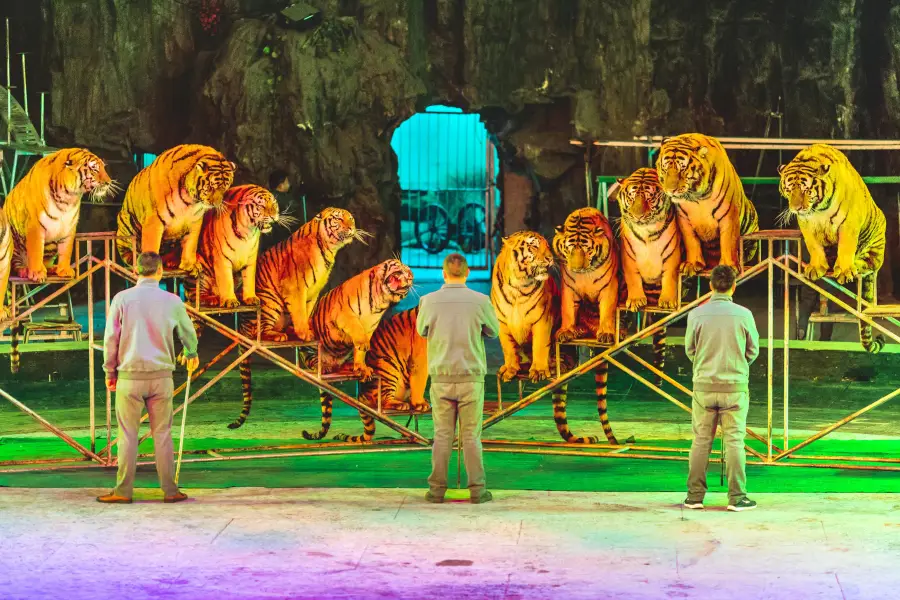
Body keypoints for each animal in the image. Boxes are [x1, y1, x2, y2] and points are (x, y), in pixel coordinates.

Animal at [3, 149, 116, 282]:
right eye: (94, 168)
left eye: (103, 168)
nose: (108, 182)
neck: (67, 198)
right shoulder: (35, 225)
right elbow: (36, 251)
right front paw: (37, 273)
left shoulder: (69, 226)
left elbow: (66, 250)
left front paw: (64, 270)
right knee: (16, 262)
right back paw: (24, 270)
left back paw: (52, 268)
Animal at [116, 144, 236, 276]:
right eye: (210, 187)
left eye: (225, 187)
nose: (216, 204)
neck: (191, 201)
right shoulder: (154, 219)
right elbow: (151, 244)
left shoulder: (195, 220)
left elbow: (191, 243)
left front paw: (190, 265)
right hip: (127, 223)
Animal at [227, 209, 364, 428]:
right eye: (338, 219)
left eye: (350, 218)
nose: (351, 228)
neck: (328, 249)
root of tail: (240, 325)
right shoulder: (296, 287)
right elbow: (299, 312)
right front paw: (305, 334)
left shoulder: (313, 292)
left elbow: (306, 313)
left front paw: (307, 329)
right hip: (270, 301)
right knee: (260, 331)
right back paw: (277, 335)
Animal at [656, 132, 756, 276]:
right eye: (665, 169)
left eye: (682, 169)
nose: (670, 190)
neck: (697, 197)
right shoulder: (683, 218)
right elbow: (691, 241)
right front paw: (692, 264)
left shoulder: (729, 214)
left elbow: (728, 241)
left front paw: (728, 266)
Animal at [776, 144, 888, 354]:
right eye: (788, 189)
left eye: (806, 189)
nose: (796, 208)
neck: (818, 209)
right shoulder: (807, 224)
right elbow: (814, 246)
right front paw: (816, 267)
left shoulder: (848, 223)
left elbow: (846, 247)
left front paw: (843, 270)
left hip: (875, 244)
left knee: (869, 263)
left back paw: (855, 265)